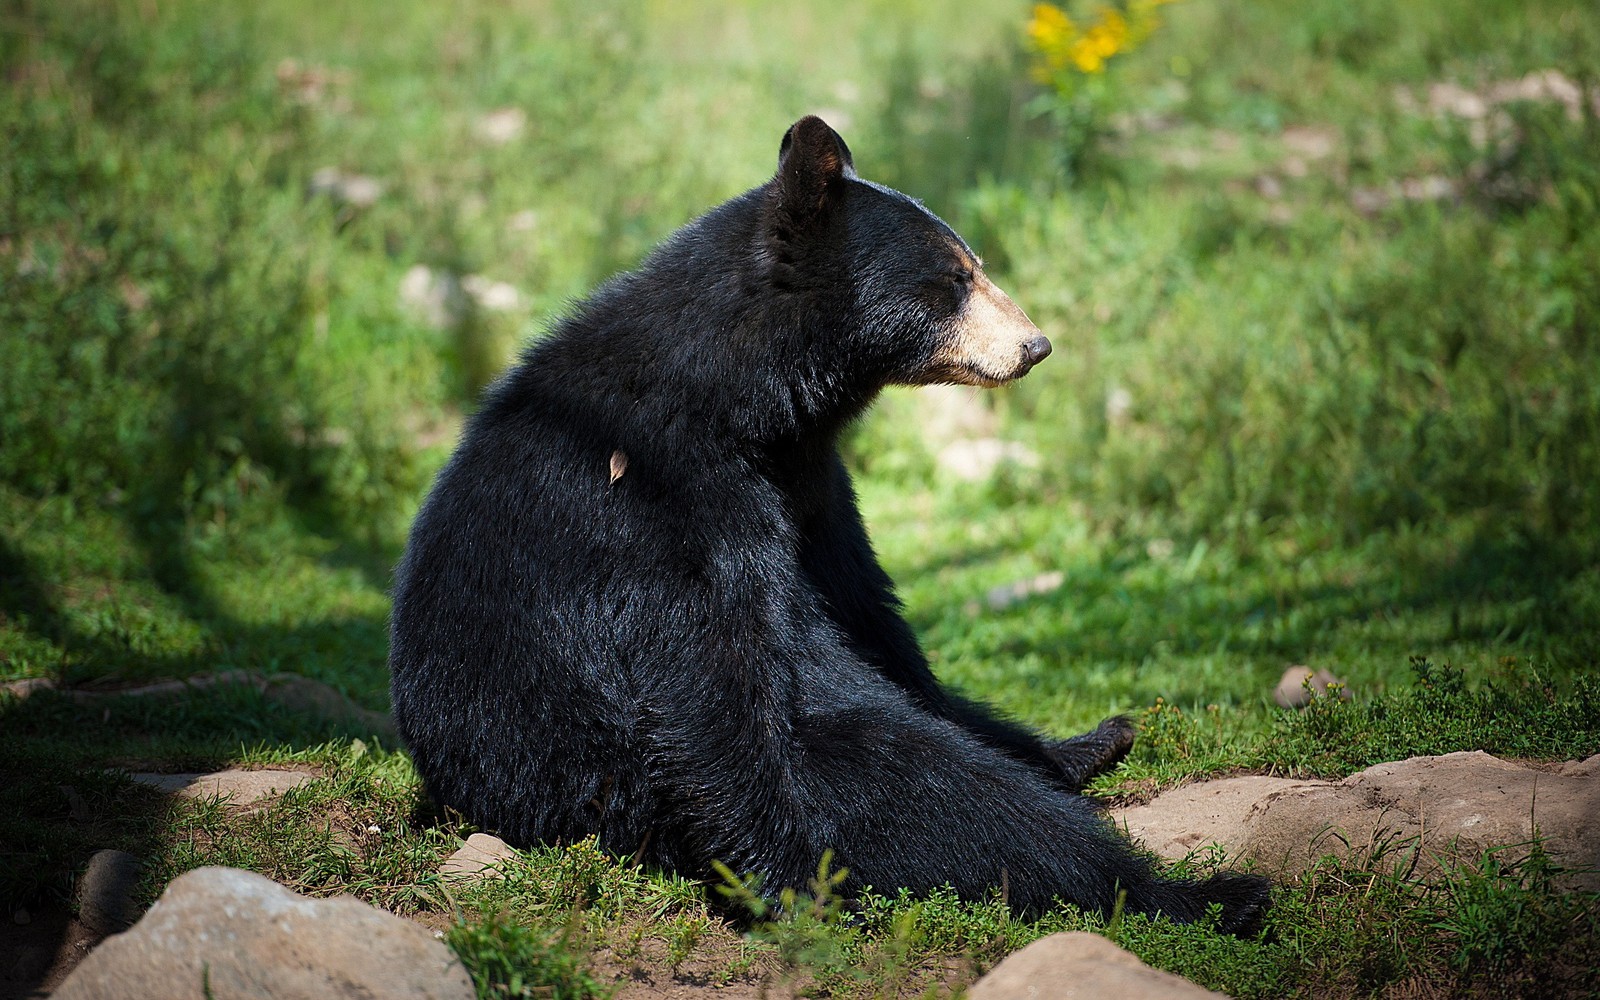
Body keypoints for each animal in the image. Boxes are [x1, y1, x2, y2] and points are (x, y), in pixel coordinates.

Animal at [393, 116, 1267, 928]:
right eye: (955, 277)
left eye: (974, 265)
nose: (1035, 345)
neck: (745, 403)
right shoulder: (659, 502)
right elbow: (707, 686)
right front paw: (793, 887)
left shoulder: (810, 485)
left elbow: (869, 615)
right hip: (603, 784)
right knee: (942, 794)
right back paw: (1206, 893)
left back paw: (1092, 744)